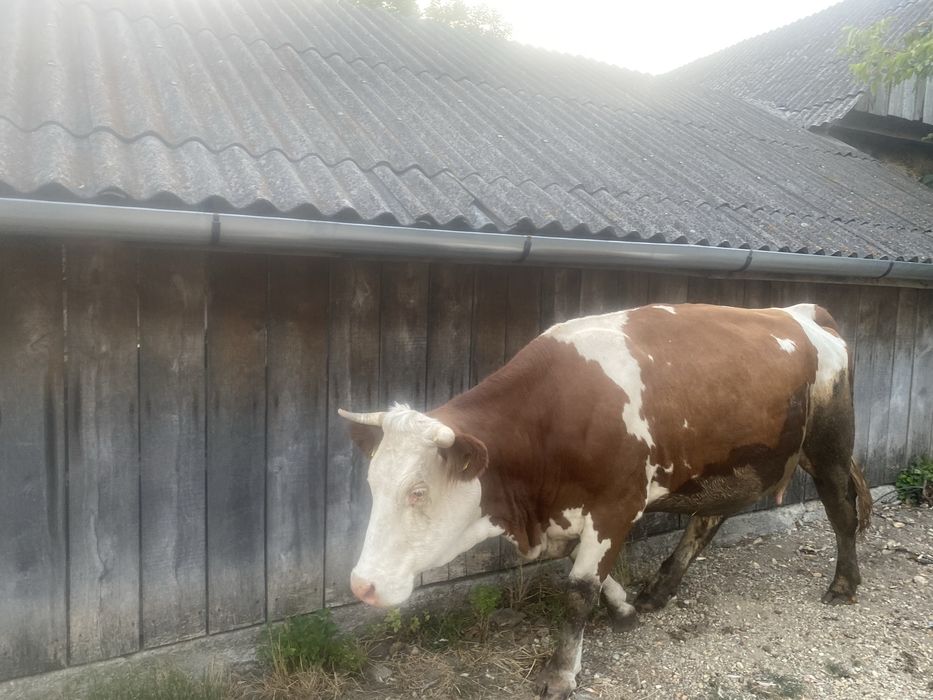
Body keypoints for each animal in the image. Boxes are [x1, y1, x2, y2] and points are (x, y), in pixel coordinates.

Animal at [339, 303, 871, 699]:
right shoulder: (569, 512)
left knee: (841, 511)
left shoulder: (618, 503)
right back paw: (659, 590)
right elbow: (580, 567)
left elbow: (578, 588)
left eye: (418, 491)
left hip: (828, 445)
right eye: (372, 483)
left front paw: (561, 673)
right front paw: (625, 609)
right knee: (708, 518)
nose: (362, 585)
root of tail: (800, 312)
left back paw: (844, 583)